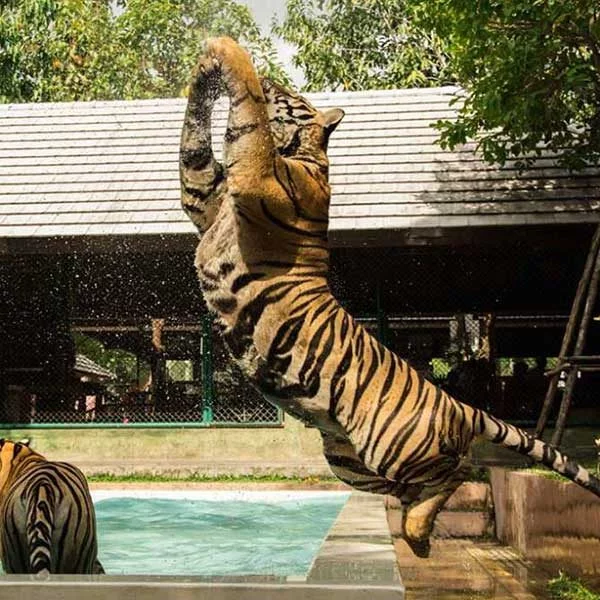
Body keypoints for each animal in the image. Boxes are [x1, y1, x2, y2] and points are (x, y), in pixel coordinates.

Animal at [179, 37, 600, 560]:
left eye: (290, 93)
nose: (276, 80)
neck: (301, 152)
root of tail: (455, 403)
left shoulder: (258, 176)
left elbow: (248, 117)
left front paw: (227, 53)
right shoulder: (203, 199)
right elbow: (194, 150)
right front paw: (202, 71)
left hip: (393, 445)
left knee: (458, 471)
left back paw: (418, 531)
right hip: (349, 459)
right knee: (420, 486)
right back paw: (416, 535)